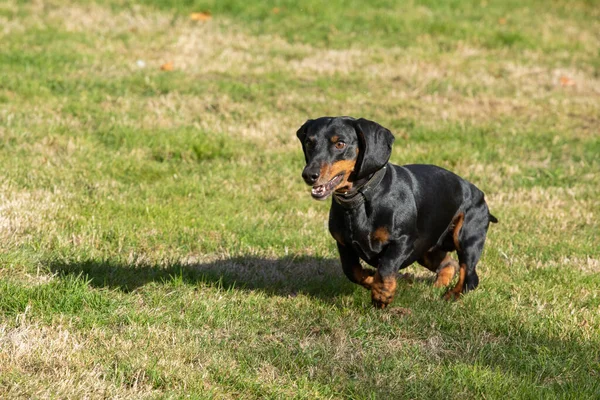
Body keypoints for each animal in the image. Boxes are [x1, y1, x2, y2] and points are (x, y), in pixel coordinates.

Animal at [296, 116, 496, 310]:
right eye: (309, 142)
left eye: (340, 144)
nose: (309, 175)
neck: (362, 198)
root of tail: (479, 193)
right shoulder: (344, 244)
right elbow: (351, 271)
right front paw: (371, 279)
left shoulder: (403, 241)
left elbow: (385, 268)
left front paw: (382, 295)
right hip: (426, 250)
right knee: (449, 265)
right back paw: (436, 290)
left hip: (465, 238)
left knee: (469, 276)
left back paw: (451, 295)